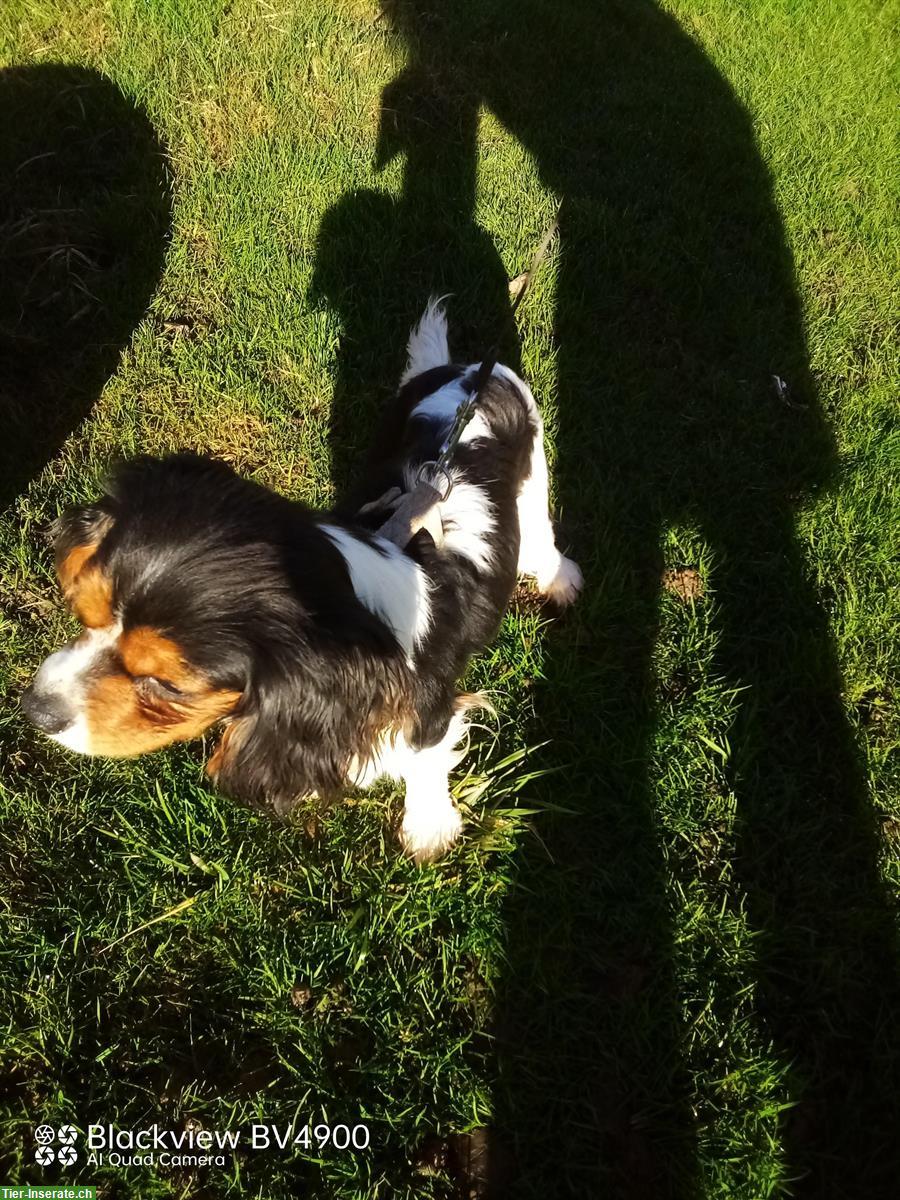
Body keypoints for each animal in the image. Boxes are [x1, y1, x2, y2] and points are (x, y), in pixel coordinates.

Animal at [24, 304, 585, 859]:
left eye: (166, 685)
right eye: (84, 616)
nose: (35, 710)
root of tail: (472, 374)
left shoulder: (429, 709)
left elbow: (426, 761)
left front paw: (429, 828)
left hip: (533, 483)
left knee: (541, 542)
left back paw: (562, 579)